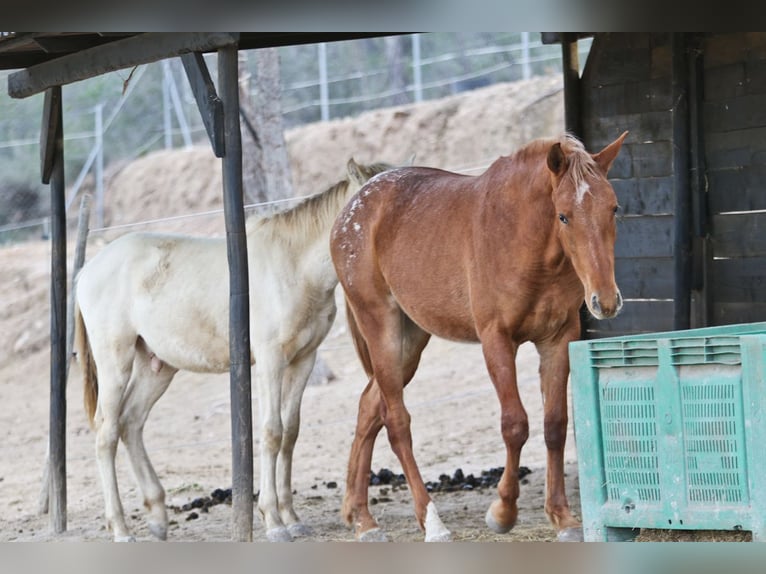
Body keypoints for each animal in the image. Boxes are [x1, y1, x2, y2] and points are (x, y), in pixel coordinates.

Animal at [76, 159, 396, 544]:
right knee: (106, 433)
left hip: (158, 366)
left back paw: (157, 518)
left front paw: (292, 518)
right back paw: (122, 529)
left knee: (131, 423)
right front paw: (273, 521)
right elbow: (272, 432)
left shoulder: (303, 360)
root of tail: (85, 272)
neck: (293, 266)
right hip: (115, 362)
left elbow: (290, 433)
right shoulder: (271, 361)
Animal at [332, 133, 632, 544]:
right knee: (396, 422)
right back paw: (431, 522)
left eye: (613, 208)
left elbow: (554, 425)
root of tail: (354, 207)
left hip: (410, 342)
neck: (524, 241)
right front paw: (503, 511)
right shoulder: (496, 340)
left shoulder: (557, 339)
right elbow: (515, 425)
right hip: (383, 330)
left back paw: (362, 519)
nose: (606, 301)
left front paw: (563, 518)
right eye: (563, 215)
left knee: (368, 408)